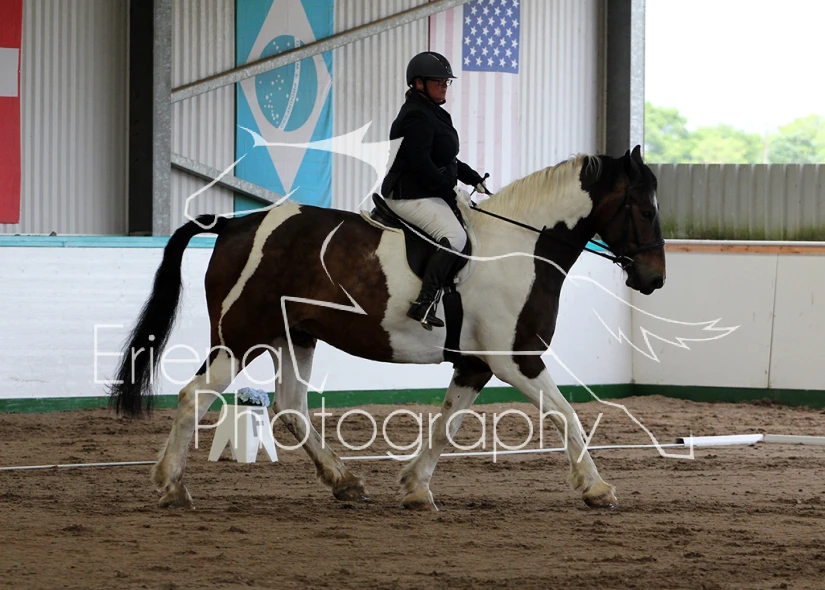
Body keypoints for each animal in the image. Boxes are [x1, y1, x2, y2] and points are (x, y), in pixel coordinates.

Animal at [109, 145, 665, 511]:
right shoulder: (517, 358)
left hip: (294, 336)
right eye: (643, 208)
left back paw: (344, 482)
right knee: (194, 397)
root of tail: (232, 224)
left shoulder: (475, 364)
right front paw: (596, 488)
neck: (520, 249)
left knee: (289, 406)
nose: (655, 279)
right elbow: (567, 415)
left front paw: (416, 487)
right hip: (240, 339)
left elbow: (447, 424)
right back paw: (172, 487)